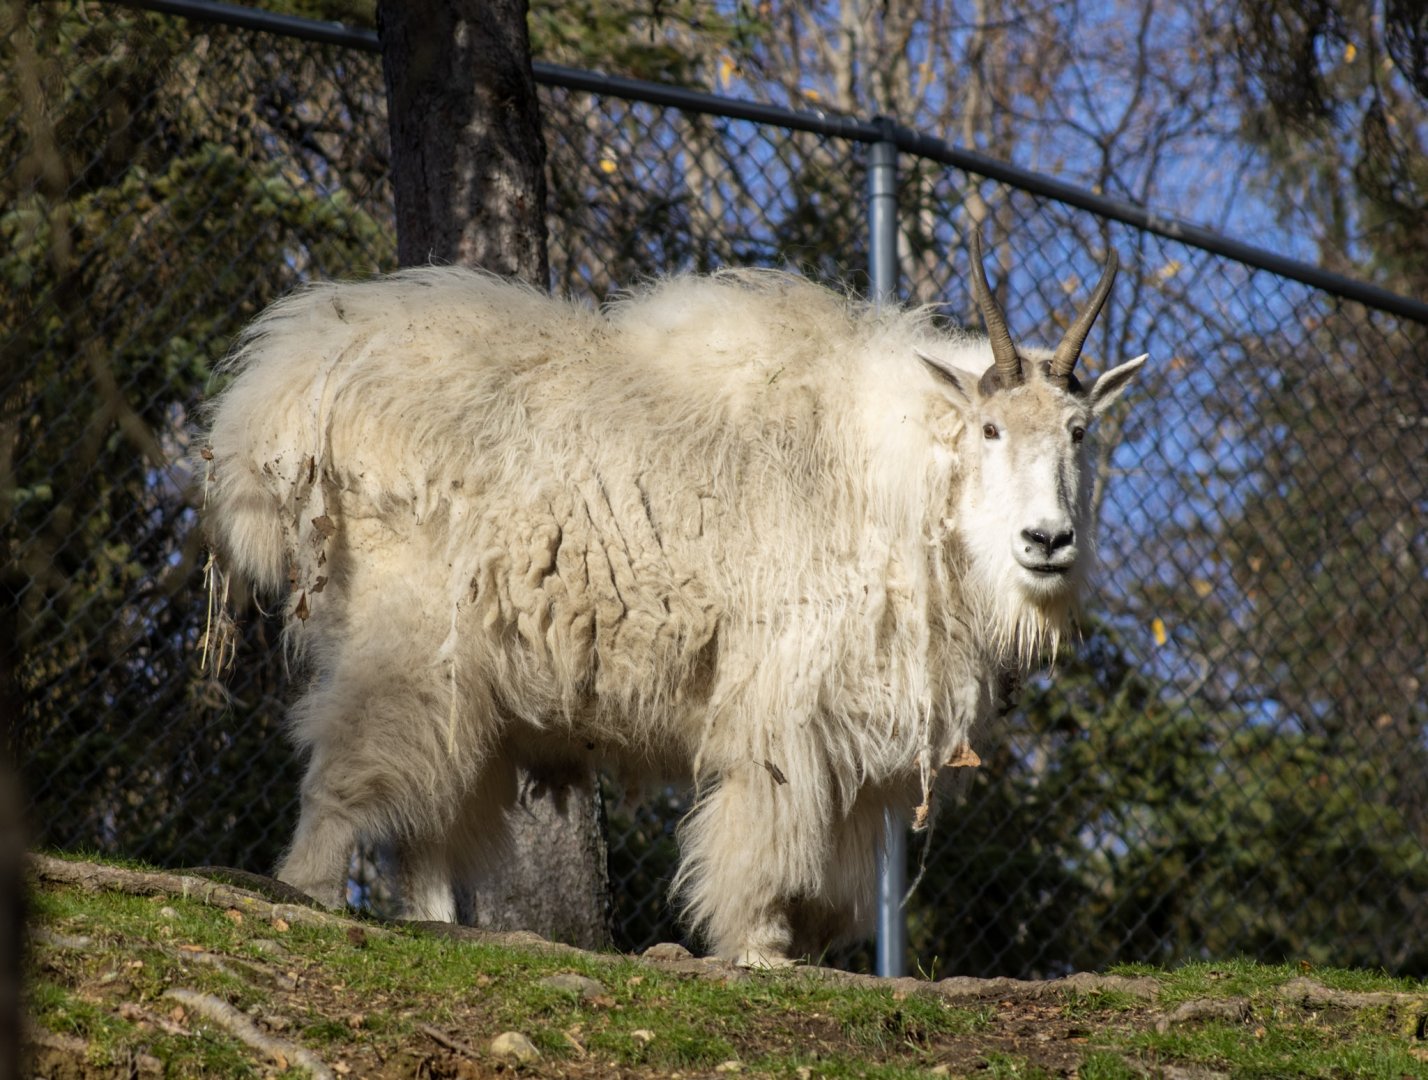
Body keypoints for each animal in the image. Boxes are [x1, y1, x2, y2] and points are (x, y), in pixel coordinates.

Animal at [200, 237, 1147, 965]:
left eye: (1079, 433)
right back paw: (310, 894)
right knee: (350, 769)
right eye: (991, 429)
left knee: (430, 810)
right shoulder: (782, 702)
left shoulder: (854, 744)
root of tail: (282, 391)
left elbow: (837, 890)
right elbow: (765, 836)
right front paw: (757, 951)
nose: (1047, 542)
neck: (902, 477)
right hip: (406, 631)